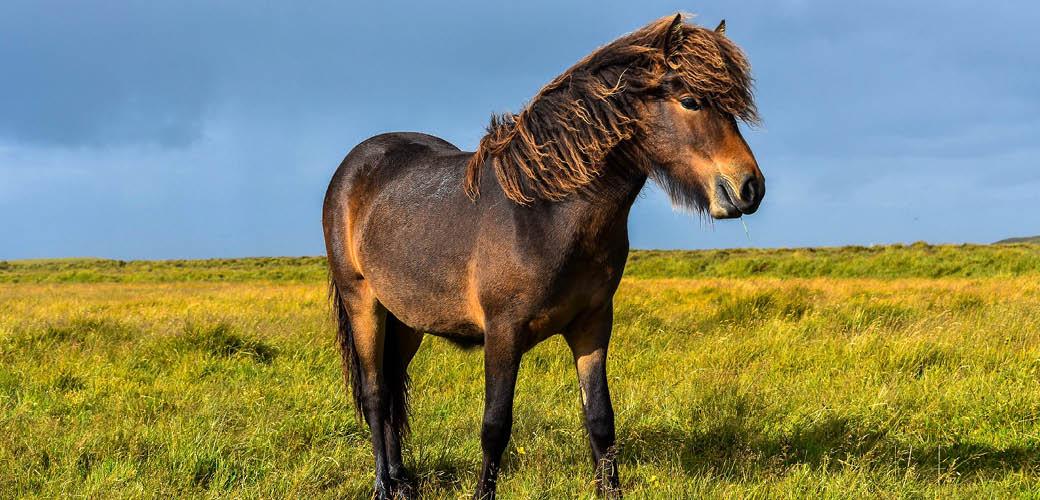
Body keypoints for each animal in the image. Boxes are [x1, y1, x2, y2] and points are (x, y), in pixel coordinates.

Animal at [322, 13, 765, 496]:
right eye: (690, 101)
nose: (750, 187)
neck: (546, 213)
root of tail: (353, 166)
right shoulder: (503, 333)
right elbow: (495, 425)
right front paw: (483, 492)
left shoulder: (592, 325)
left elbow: (601, 420)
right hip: (363, 302)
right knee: (375, 392)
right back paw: (384, 485)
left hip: (405, 320)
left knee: (392, 388)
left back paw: (403, 479)